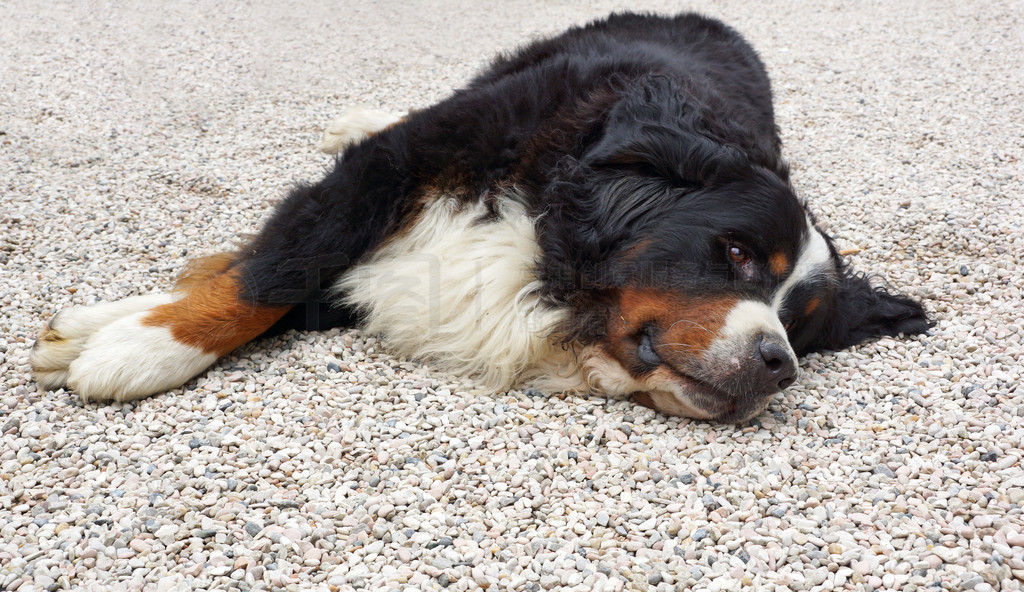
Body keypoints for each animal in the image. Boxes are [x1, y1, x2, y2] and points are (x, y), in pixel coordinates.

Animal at [32, 12, 933, 419]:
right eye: (738, 253)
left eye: (803, 327)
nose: (778, 363)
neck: (542, 248)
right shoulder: (397, 168)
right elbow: (275, 270)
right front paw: (144, 346)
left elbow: (290, 281)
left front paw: (111, 327)